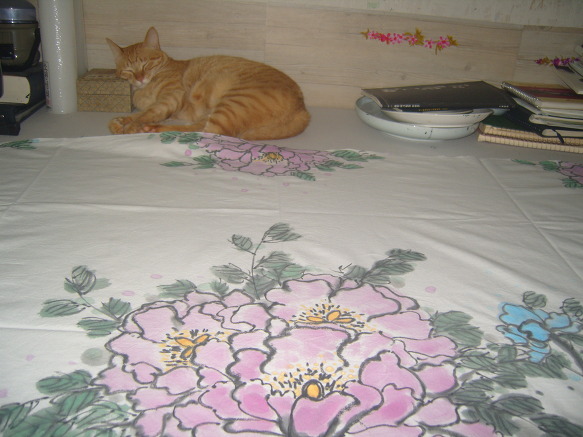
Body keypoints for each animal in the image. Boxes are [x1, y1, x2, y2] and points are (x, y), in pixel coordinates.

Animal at [105, 27, 310, 140]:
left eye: (146, 64)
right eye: (128, 70)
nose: (140, 78)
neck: (144, 88)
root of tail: (303, 108)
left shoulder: (170, 98)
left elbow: (145, 114)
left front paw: (130, 127)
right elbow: (138, 115)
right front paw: (121, 122)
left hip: (231, 104)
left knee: (209, 134)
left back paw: (151, 129)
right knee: (195, 129)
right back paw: (153, 129)